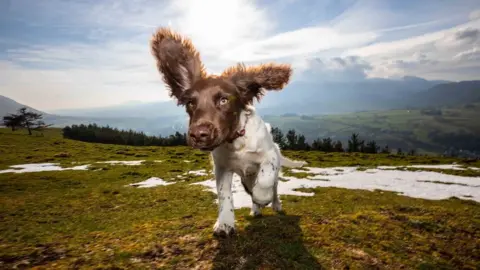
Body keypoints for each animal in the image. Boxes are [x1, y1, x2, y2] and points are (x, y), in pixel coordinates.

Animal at [150, 26, 308, 236]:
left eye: (223, 100)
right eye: (190, 103)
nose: (198, 135)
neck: (236, 142)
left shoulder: (270, 156)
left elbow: (265, 178)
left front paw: (262, 196)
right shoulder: (222, 168)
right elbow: (224, 195)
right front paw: (225, 223)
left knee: (273, 188)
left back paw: (274, 204)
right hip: (245, 180)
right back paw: (255, 210)